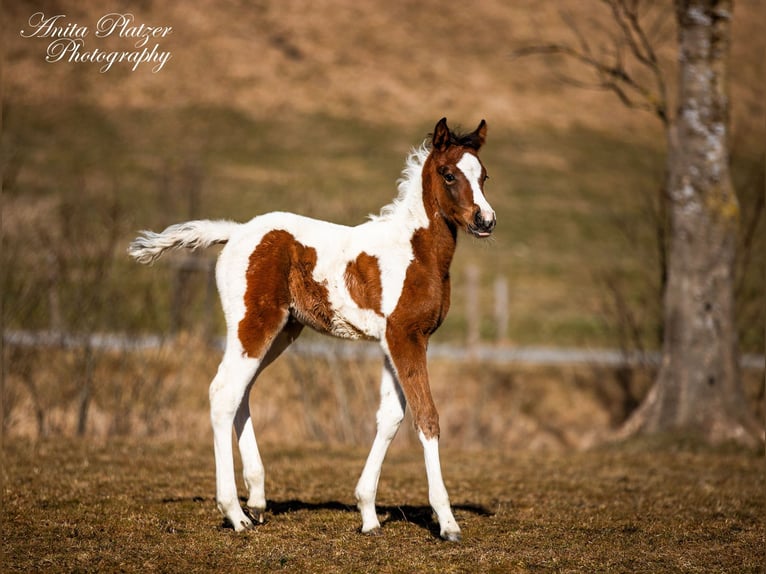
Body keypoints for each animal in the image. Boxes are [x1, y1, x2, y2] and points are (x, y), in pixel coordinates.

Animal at [127, 118, 498, 544]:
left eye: (484, 175)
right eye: (449, 174)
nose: (485, 221)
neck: (414, 252)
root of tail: (236, 233)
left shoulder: (394, 341)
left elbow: (390, 417)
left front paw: (368, 514)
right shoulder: (405, 337)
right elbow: (426, 417)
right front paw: (447, 521)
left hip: (283, 332)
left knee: (242, 391)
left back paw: (257, 499)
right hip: (254, 324)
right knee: (223, 393)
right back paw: (234, 513)